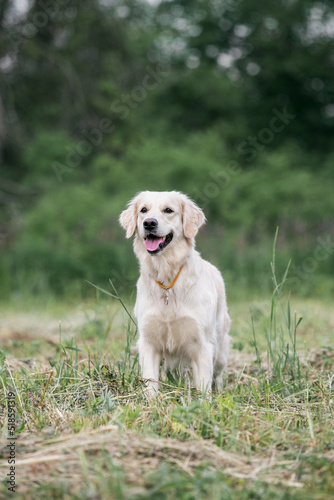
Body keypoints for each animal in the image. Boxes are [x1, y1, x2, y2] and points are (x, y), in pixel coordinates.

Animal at [118, 190, 231, 394]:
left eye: (168, 210)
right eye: (143, 210)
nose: (149, 223)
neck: (167, 280)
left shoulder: (201, 344)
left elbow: (204, 387)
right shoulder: (148, 342)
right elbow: (150, 382)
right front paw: (152, 401)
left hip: (220, 349)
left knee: (217, 375)